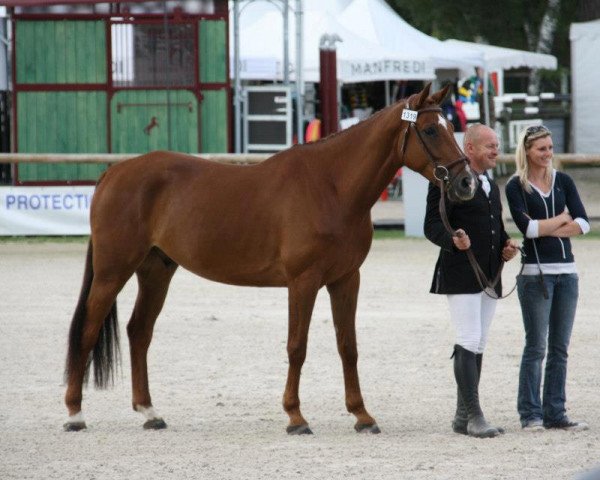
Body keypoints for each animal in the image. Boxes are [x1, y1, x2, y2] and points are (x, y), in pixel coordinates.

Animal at [62, 84, 474, 434]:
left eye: (451, 127)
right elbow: (297, 347)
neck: (331, 187)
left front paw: (362, 415)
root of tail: (115, 171)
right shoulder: (303, 281)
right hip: (112, 272)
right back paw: (75, 414)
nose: (467, 182)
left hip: (156, 270)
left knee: (139, 332)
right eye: (431, 131)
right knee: (88, 330)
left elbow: (348, 347)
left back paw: (150, 413)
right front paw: (295, 417)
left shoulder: (346, 280)